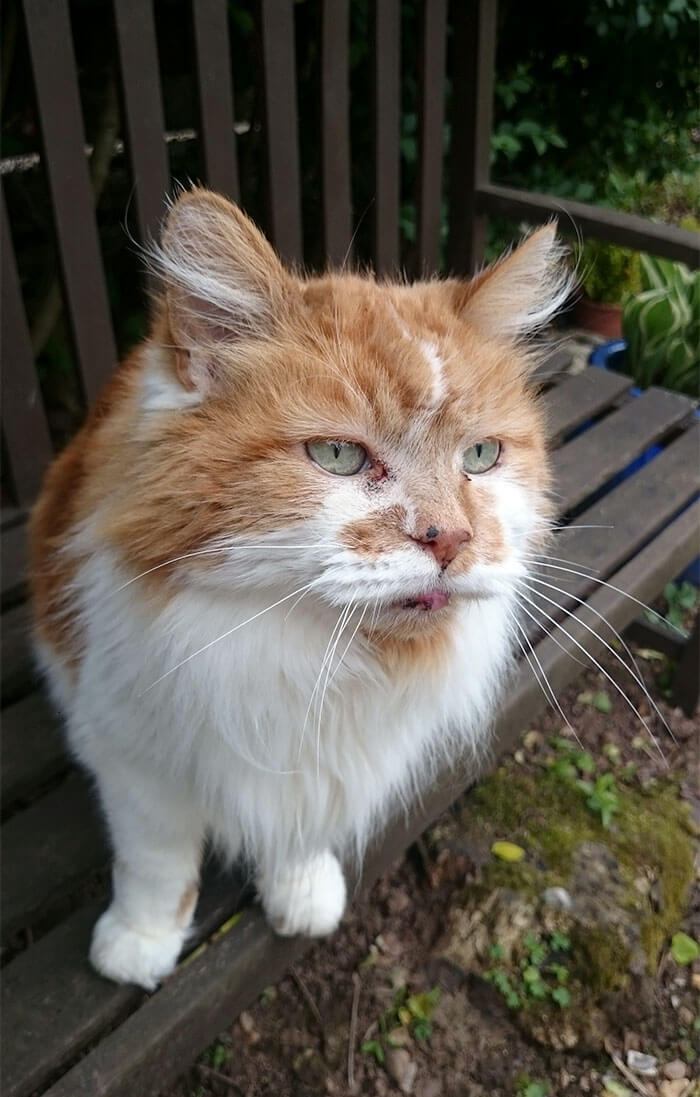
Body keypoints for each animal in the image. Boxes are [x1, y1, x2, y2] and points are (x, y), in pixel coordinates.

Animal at [30, 184, 574, 991]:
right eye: (338, 456)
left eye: (481, 456)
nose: (450, 538)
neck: (324, 660)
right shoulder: (134, 760)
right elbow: (156, 866)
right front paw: (139, 944)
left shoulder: (322, 767)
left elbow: (299, 831)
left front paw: (301, 892)